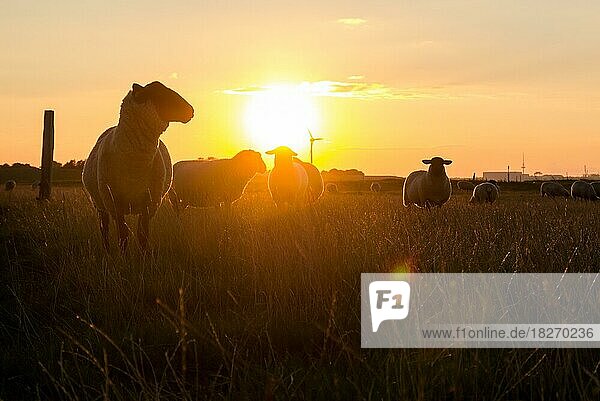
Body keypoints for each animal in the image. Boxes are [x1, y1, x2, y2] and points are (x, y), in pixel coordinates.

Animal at [81, 81, 193, 250]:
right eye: (159, 94)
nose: (191, 111)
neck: (136, 166)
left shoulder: (150, 204)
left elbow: (142, 235)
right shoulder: (115, 204)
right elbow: (123, 236)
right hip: (100, 204)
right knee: (104, 229)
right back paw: (107, 251)